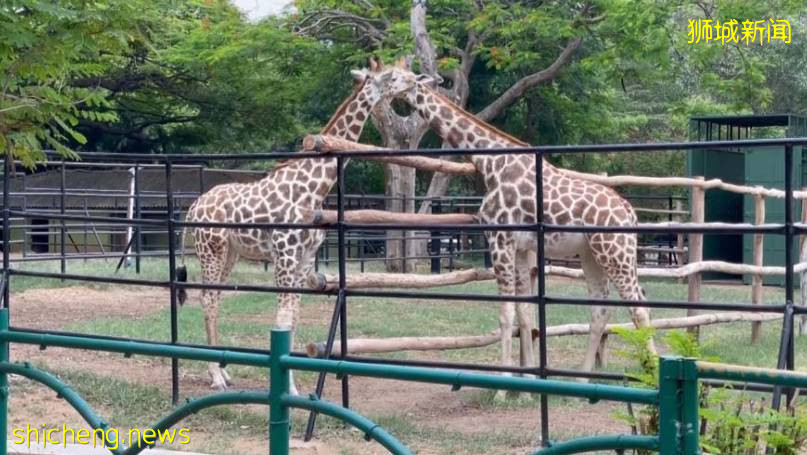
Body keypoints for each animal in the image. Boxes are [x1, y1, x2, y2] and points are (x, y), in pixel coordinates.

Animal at [176, 62, 383, 391]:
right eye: (391, 77)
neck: (314, 188)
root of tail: (194, 208)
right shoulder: (284, 254)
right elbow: (283, 316)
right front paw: (289, 387)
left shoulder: (306, 257)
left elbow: (295, 315)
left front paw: (292, 385)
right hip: (210, 250)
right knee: (207, 298)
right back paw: (216, 378)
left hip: (229, 253)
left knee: (216, 297)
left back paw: (223, 372)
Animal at [368, 63, 656, 393]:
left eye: (394, 77)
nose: (373, 87)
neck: (491, 164)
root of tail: (631, 214)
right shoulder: (519, 247)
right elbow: (524, 312)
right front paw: (528, 381)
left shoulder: (500, 238)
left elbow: (505, 314)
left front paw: (502, 388)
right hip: (591, 255)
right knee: (600, 311)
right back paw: (582, 381)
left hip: (615, 253)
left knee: (640, 307)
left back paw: (652, 376)